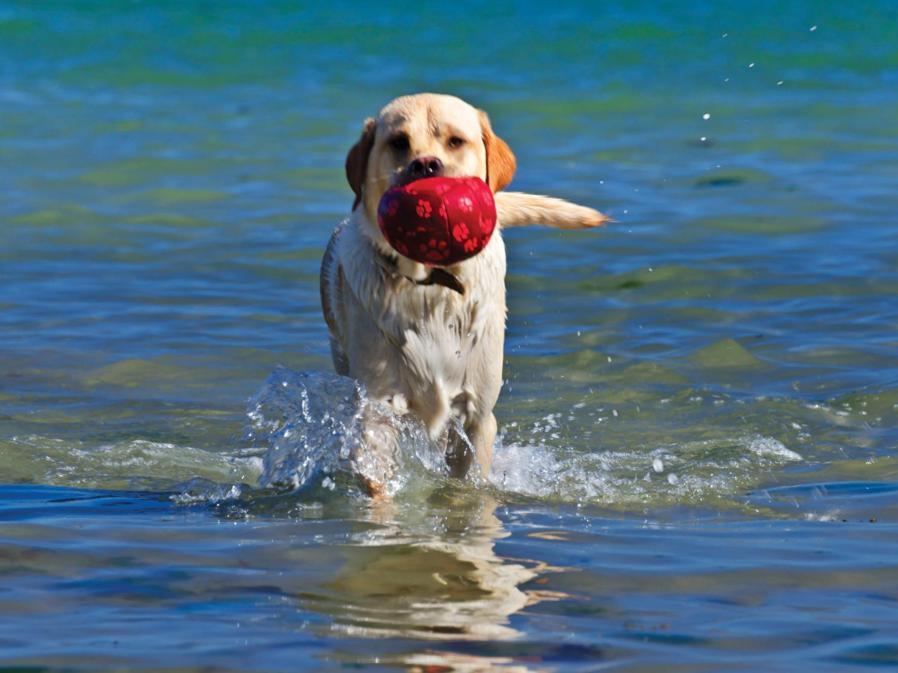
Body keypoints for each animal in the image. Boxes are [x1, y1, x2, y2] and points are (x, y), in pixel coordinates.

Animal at [318, 93, 604, 494]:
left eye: (455, 141)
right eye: (399, 142)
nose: (425, 163)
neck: (431, 289)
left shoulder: (478, 414)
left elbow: (470, 484)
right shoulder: (377, 408)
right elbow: (376, 479)